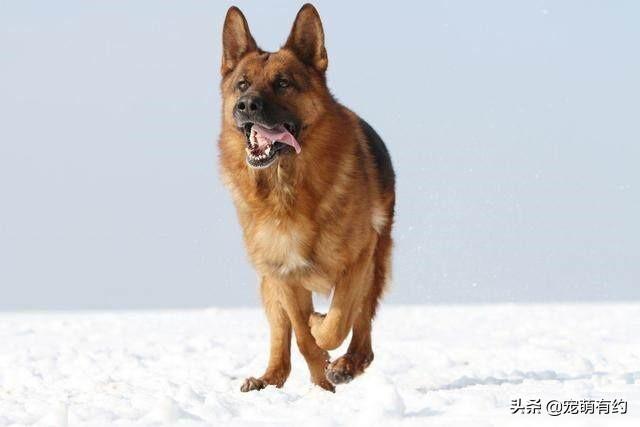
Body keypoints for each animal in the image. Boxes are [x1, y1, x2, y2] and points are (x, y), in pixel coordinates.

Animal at [218, 3, 392, 392]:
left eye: (283, 83)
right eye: (242, 84)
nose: (246, 105)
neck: (287, 188)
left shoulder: (357, 262)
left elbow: (335, 323)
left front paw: (322, 329)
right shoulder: (283, 275)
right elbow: (301, 336)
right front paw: (319, 379)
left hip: (376, 263)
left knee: (363, 330)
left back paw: (349, 362)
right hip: (267, 283)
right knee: (281, 337)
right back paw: (270, 378)